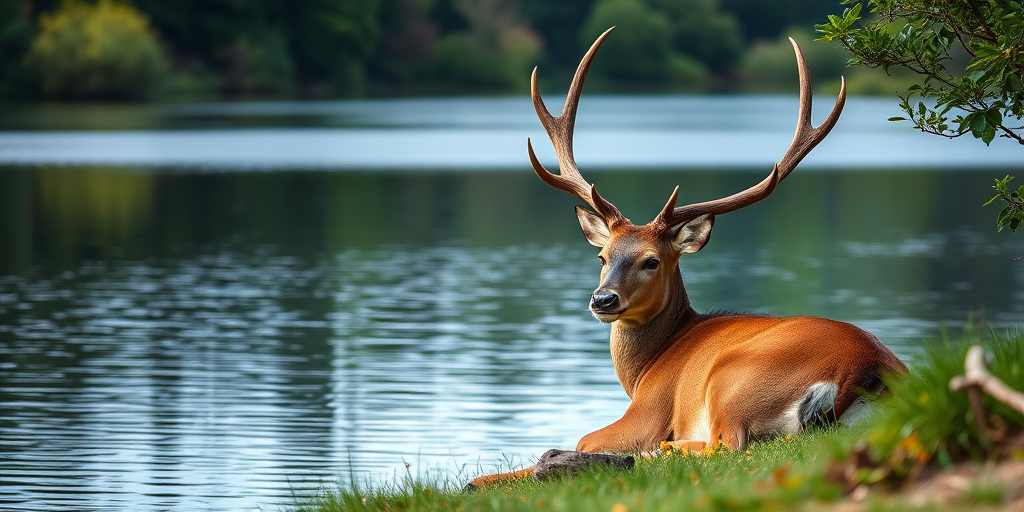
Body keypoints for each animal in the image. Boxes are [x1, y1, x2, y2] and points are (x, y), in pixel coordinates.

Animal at [467, 28, 907, 489]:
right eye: (602, 257)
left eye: (651, 261)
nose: (602, 299)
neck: (649, 367)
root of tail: (862, 369)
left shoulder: (648, 411)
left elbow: (586, 437)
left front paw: (482, 480)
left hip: (734, 377)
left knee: (727, 444)